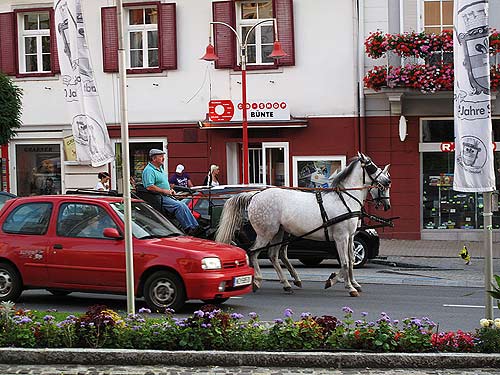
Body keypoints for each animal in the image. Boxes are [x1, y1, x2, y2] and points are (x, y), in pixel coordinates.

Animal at [215, 153, 390, 296]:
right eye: (371, 166)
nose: (387, 181)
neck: (345, 199)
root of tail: (255, 195)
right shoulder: (341, 237)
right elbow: (346, 262)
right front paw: (343, 284)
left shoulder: (350, 237)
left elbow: (351, 260)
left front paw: (351, 283)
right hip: (266, 233)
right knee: (253, 252)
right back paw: (257, 280)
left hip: (278, 233)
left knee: (273, 255)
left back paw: (287, 284)